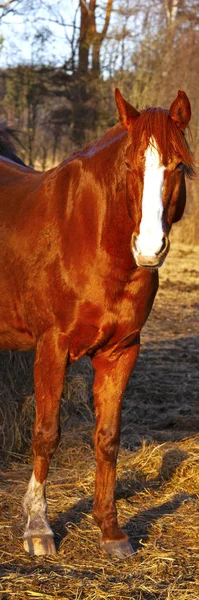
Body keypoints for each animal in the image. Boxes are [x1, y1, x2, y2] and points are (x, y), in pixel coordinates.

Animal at [0, 88, 194, 556]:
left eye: (179, 166)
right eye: (128, 165)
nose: (149, 248)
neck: (90, 238)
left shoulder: (121, 351)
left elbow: (107, 437)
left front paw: (111, 530)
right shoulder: (51, 347)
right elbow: (46, 433)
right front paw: (38, 526)